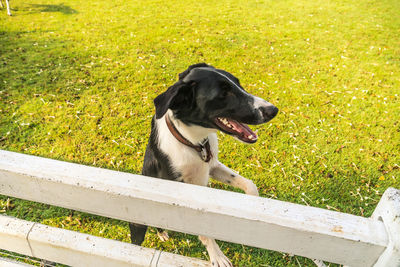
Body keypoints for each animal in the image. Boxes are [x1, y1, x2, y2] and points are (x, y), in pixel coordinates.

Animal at [129, 63, 278, 266]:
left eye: (238, 83)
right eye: (224, 94)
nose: (273, 110)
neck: (193, 142)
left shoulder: (212, 166)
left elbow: (249, 184)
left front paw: (253, 205)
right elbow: (204, 230)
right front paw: (217, 256)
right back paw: (161, 234)